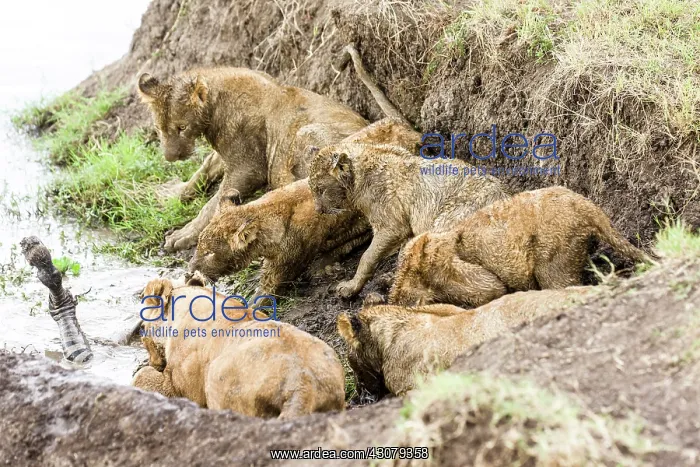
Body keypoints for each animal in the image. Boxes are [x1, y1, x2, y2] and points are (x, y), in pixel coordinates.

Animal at [138, 67, 369, 251]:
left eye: (182, 127)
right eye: (159, 128)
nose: (170, 157)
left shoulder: (248, 167)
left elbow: (211, 204)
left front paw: (184, 234)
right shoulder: (226, 154)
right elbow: (203, 169)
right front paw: (172, 193)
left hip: (307, 132)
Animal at [309, 142, 509, 297]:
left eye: (321, 189)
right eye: (312, 189)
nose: (318, 210)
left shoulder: (390, 220)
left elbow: (368, 255)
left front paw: (349, 287)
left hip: (450, 218)